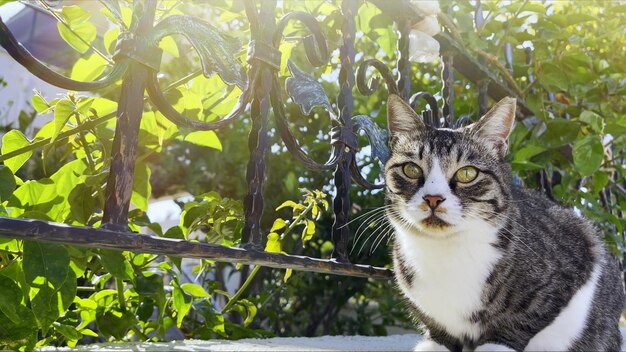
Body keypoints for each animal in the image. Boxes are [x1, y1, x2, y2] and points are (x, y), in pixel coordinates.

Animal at [382, 94, 620, 352]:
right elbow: (437, 327)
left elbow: (520, 321)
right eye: (411, 169)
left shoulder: (574, 257)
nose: (433, 198)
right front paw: (436, 343)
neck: (445, 252)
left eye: (467, 173)